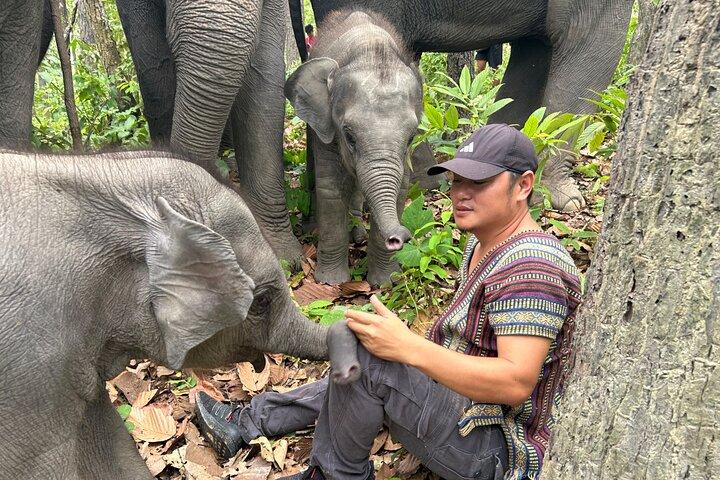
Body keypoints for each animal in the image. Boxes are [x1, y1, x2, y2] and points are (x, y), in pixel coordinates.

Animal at [285, 10, 423, 285]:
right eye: (348, 136)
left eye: (411, 137)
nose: (400, 237)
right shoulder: (327, 130)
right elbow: (331, 188)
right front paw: (331, 282)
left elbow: (402, 185)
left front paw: (386, 282)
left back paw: (358, 233)